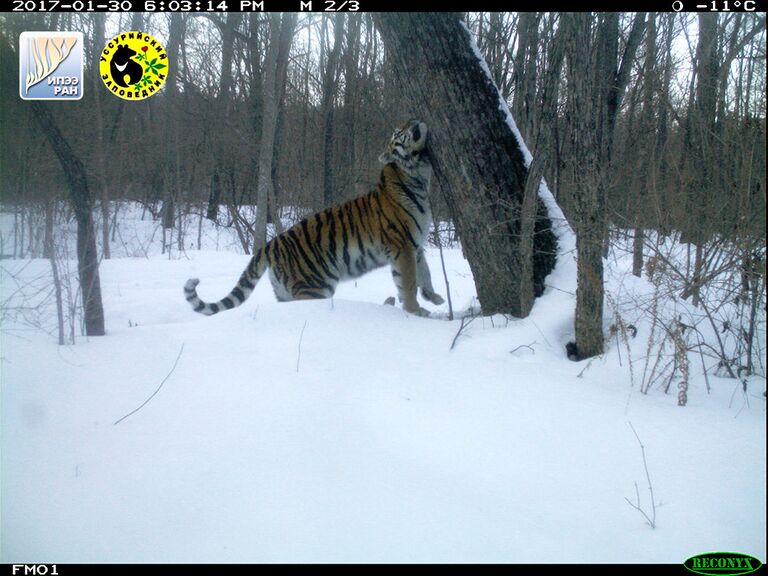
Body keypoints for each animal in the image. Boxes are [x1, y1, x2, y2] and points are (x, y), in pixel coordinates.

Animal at [185, 120, 444, 318]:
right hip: (313, 288)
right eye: (399, 133)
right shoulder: (402, 246)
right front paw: (416, 312)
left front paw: (434, 297)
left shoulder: (415, 246)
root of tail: (270, 245)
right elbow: (408, 283)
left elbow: (425, 274)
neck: (418, 177)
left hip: (286, 292)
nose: (413, 119)